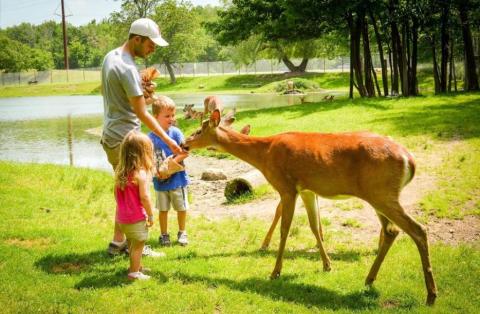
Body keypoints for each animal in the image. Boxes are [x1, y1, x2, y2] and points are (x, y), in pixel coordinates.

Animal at [185, 110, 438, 304]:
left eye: (198, 130)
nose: (185, 143)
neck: (265, 153)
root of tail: (410, 160)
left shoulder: (286, 187)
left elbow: (285, 228)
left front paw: (275, 271)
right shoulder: (306, 190)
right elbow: (314, 225)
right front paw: (327, 265)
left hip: (381, 192)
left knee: (417, 230)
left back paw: (431, 294)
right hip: (378, 195)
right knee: (391, 231)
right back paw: (369, 279)